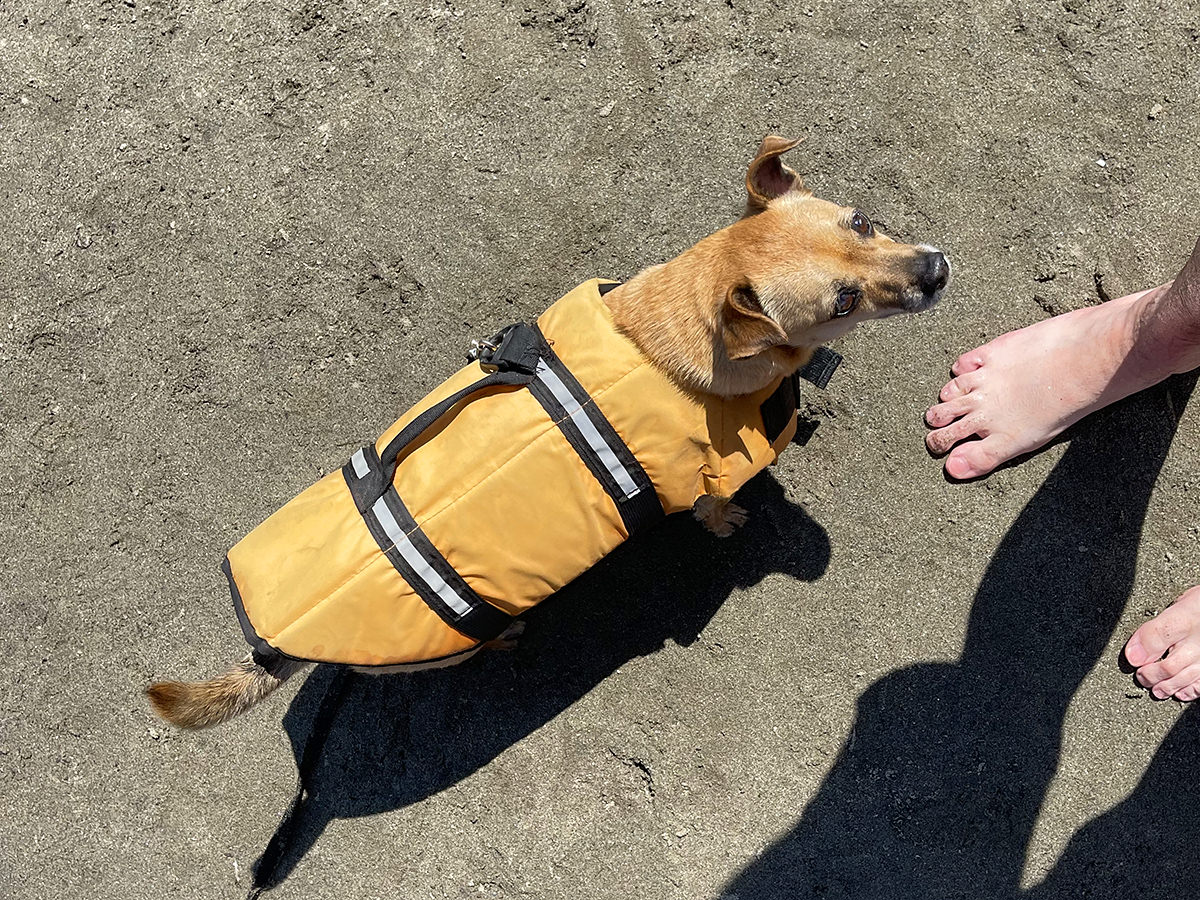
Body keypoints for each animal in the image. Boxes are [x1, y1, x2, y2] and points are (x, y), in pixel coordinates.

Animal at [147, 137, 945, 729]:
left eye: (864, 220)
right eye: (841, 302)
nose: (936, 269)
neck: (661, 340)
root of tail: (272, 647)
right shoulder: (709, 483)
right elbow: (717, 512)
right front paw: (736, 519)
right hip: (445, 647)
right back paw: (505, 635)